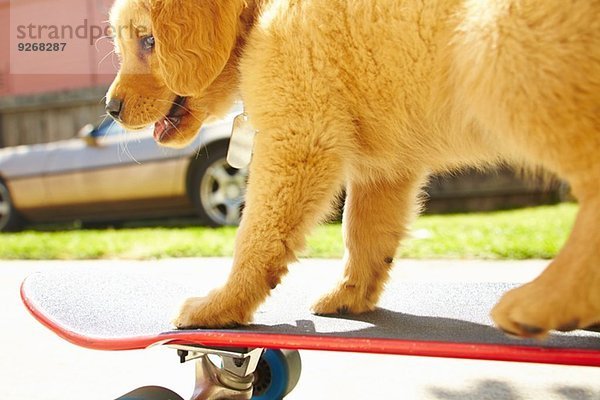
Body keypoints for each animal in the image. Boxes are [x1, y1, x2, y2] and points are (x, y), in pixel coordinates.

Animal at [108, 0, 600, 338]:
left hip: (499, 48)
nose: (110, 108)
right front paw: (350, 296)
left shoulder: (298, 136)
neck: (263, 11)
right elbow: (365, 233)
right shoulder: (385, 169)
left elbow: (257, 234)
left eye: (148, 40)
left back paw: (545, 302)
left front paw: (220, 307)